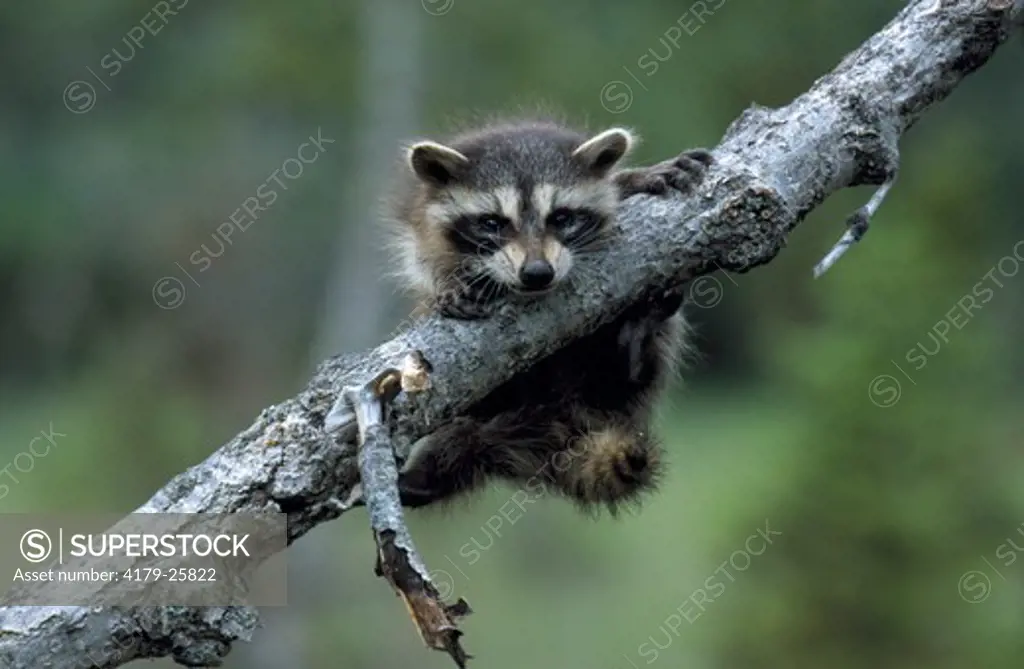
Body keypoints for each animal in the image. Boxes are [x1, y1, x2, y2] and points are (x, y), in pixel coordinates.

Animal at [385, 117, 712, 514]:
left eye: (561, 218)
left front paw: (632, 178)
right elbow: (427, 268)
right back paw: (422, 481)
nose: (538, 273)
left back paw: (634, 345)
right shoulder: (425, 233)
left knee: (644, 353)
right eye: (492, 223)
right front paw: (447, 286)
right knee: (462, 436)